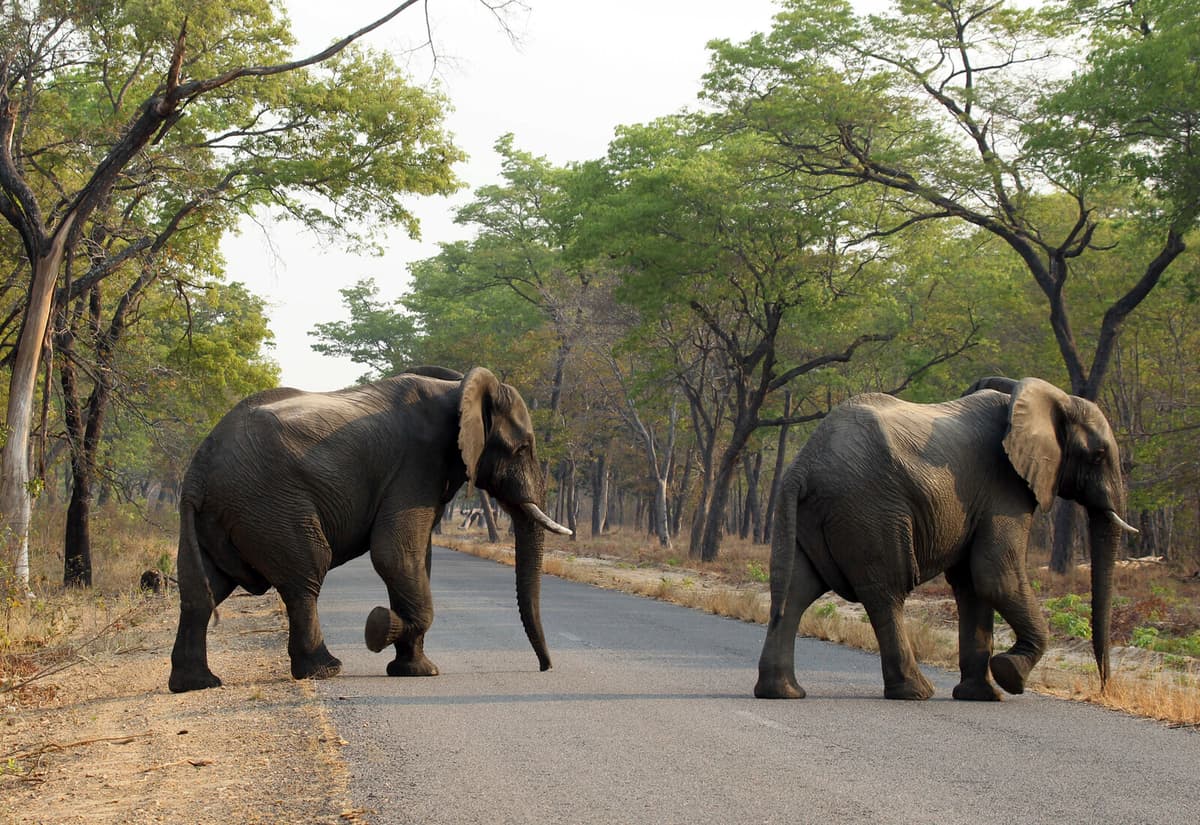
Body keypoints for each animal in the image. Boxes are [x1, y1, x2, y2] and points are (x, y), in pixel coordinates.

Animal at [168, 366, 571, 693]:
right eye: (522, 448)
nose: (545, 667)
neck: (457, 388)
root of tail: (198, 471)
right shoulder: (417, 464)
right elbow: (395, 555)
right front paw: (379, 628)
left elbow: (416, 559)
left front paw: (416, 670)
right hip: (270, 504)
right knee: (305, 576)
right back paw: (325, 670)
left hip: (221, 516)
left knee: (202, 591)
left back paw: (197, 684)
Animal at [754, 377, 1138, 701]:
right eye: (1098, 455)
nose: (1104, 687)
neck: (1043, 396)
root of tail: (803, 466)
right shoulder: (1004, 487)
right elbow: (995, 575)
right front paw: (1010, 675)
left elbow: (972, 584)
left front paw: (982, 696)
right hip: (869, 510)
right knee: (885, 592)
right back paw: (916, 692)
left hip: (814, 514)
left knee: (794, 591)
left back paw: (783, 693)